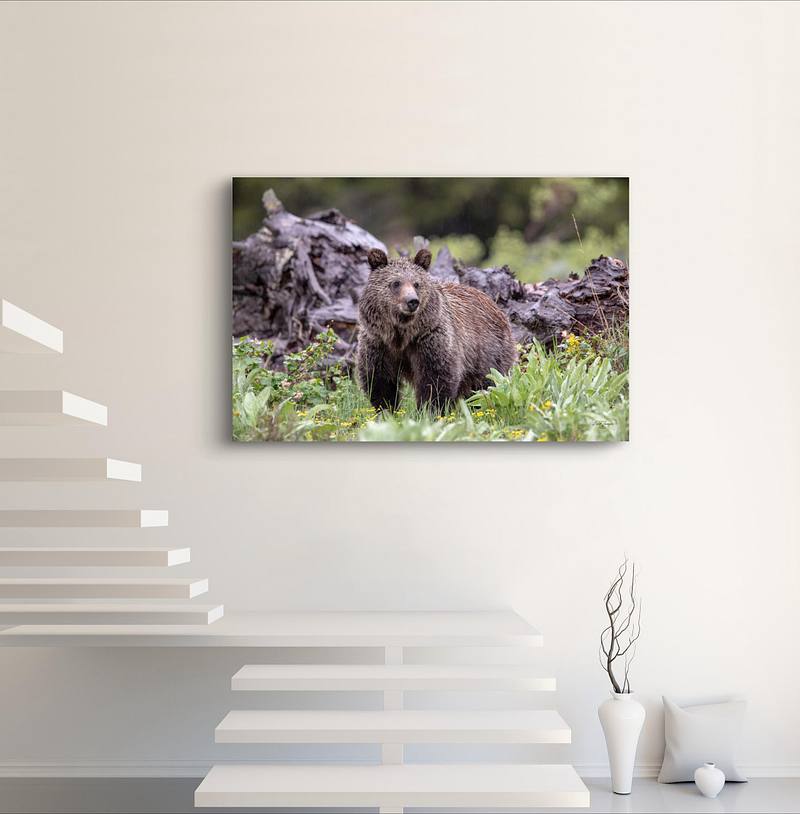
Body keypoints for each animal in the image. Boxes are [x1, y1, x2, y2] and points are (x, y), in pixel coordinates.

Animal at [356, 247, 516, 412]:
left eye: (416, 283)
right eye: (396, 283)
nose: (412, 301)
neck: (402, 334)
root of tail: (496, 306)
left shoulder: (430, 339)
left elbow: (436, 378)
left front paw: (429, 410)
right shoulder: (379, 343)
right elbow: (380, 380)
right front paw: (387, 409)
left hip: (488, 353)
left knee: (487, 383)